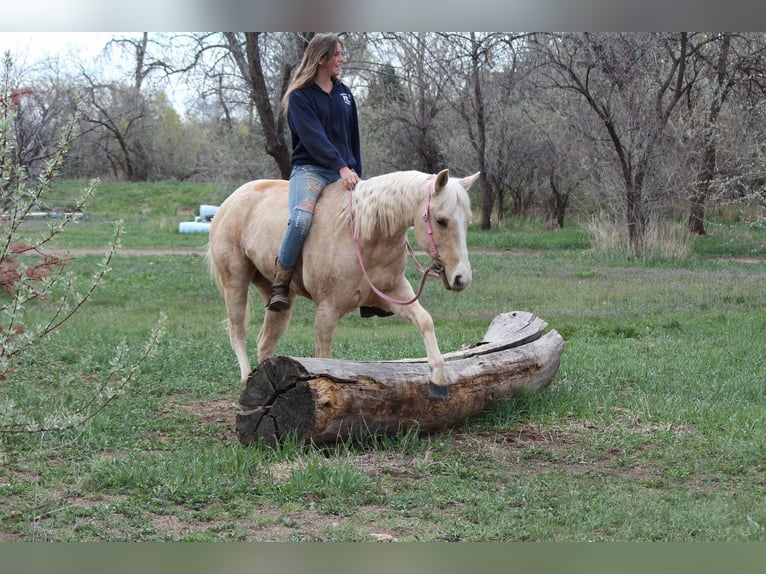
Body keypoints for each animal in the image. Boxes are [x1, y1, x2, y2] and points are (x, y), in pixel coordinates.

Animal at [208, 168, 480, 400]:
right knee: (237, 331)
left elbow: (425, 321)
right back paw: (246, 378)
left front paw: (439, 380)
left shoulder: (395, 294)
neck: (364, 235)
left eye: (467, 220)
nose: (461, 278)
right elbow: (324, 356)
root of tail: (229, 202)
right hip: (235, 282)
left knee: (265, 342)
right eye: (441, 220)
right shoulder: (327, 310)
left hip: (277, 298)